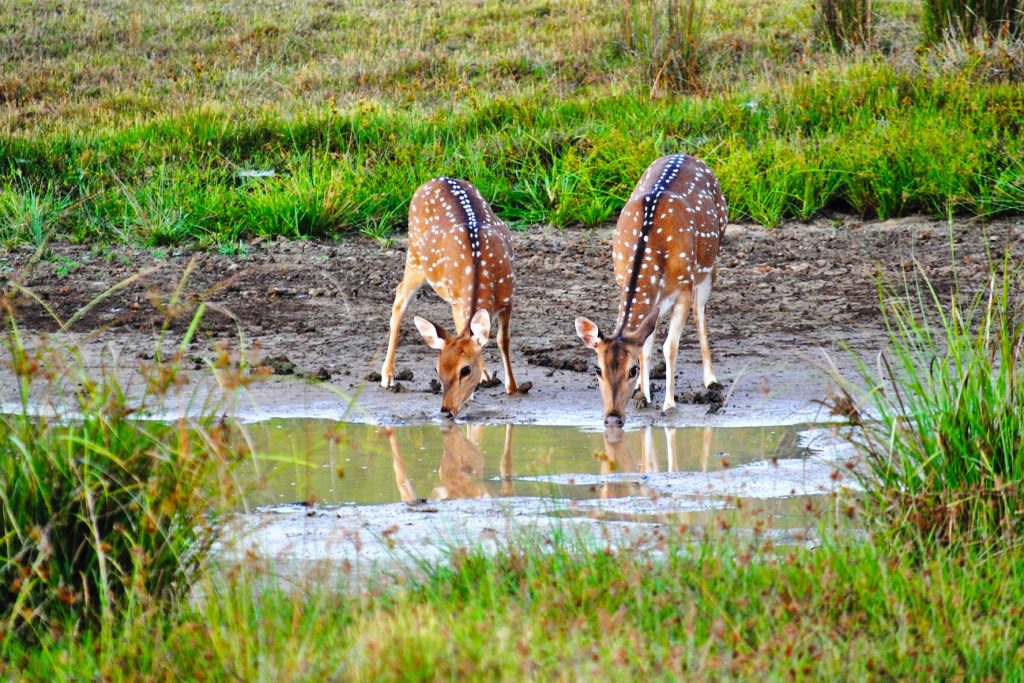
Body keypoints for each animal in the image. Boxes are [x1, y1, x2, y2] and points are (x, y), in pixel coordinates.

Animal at [382, 176, 532, 419]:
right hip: (415, 257)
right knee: (400, 296)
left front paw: (512, 386)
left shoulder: (509, 297)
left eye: (465, 370)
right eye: (437, 369)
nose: (445, 410)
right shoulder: (457, 299)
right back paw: (387, 376)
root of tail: (436, 179)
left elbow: (503, 340)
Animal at [577, 153, 729, 428]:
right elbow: (645, 345)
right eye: (597, 370)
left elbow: (670, 346)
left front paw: (669, 404)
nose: (612, 418)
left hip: (709, 264)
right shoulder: (624, 281)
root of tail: (686, 155)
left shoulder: (684, 287)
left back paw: (711, 380)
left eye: (631, 370)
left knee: (700, 312)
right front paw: (644, 396)